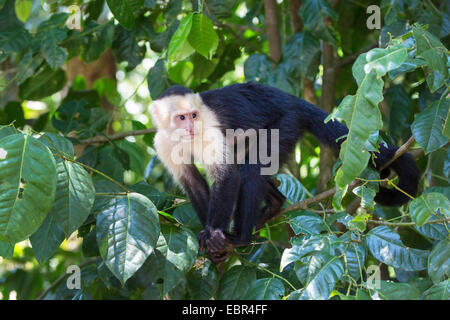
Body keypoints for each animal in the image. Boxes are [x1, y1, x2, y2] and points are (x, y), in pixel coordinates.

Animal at [149, 82, 420, 262]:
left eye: (194, 115)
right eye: (181, 117)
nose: (191, 127)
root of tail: (290, 99)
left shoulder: (208, 130)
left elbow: (228, 176)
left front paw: (215, 234)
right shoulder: (162, 142)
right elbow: (193, 182)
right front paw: (214, 242)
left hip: (286, 122)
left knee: (250, 168)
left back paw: (242, 236)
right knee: (245, 162)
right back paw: (274, 204)